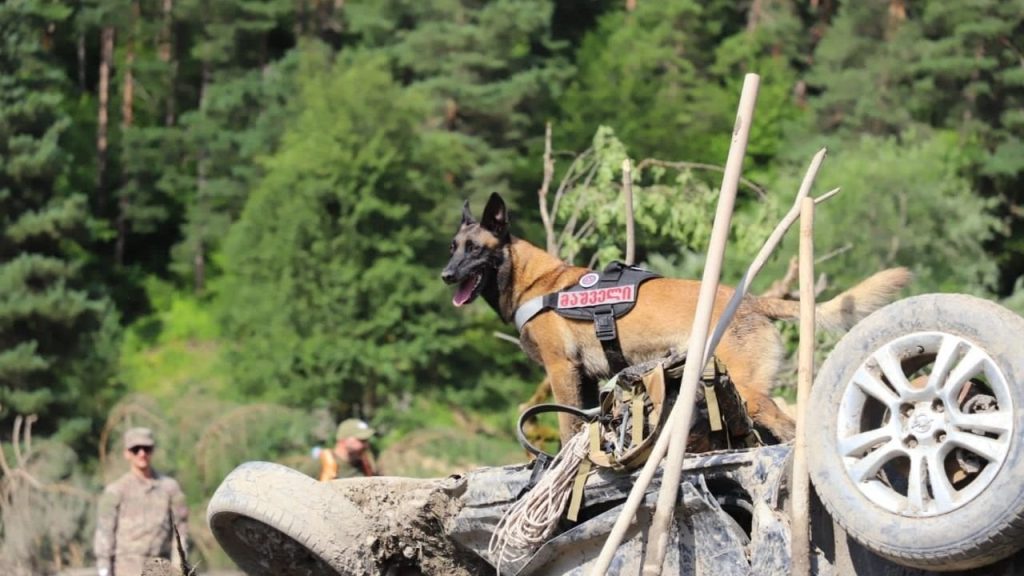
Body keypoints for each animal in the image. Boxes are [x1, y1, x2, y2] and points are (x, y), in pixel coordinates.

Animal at [440, 191, 913, 438]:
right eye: (453, 247)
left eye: (475, 249)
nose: (445, 275)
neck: (538, 283)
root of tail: (753, 300)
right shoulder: (586, 379)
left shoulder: (562, 371)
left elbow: (567, 425)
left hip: (749, 389)